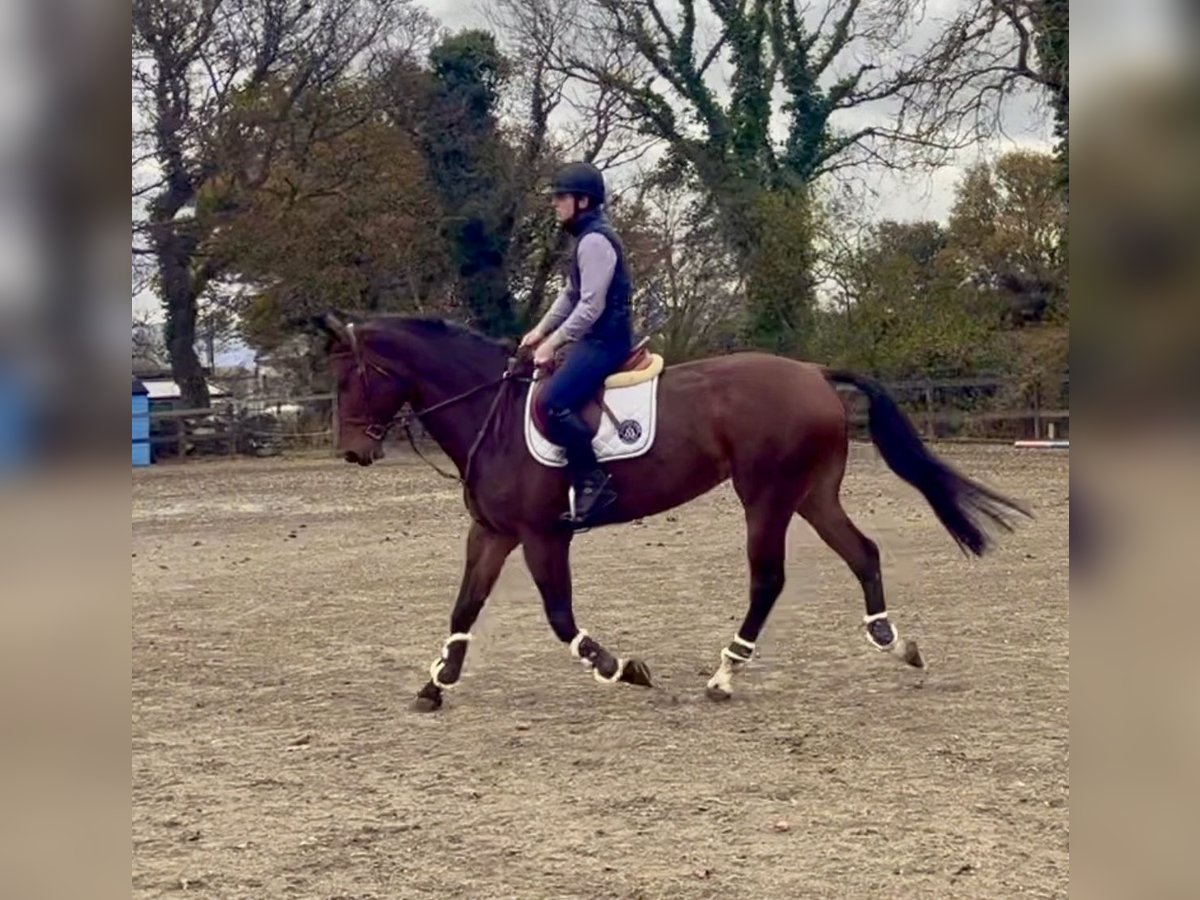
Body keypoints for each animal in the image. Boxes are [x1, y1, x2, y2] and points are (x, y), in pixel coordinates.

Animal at [309, 314, 1032, 715]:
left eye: (351, 377)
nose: (351, 452)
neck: (496, 414)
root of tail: (812, 372)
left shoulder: (543, 537)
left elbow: (559, 616)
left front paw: (620, 668)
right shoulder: (491, 533)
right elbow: (464, 606)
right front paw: (436, 684)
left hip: (766, 496)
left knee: (769, 579)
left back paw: (725, 676)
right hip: (812, 494)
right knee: (863, 552)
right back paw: (893, 641)